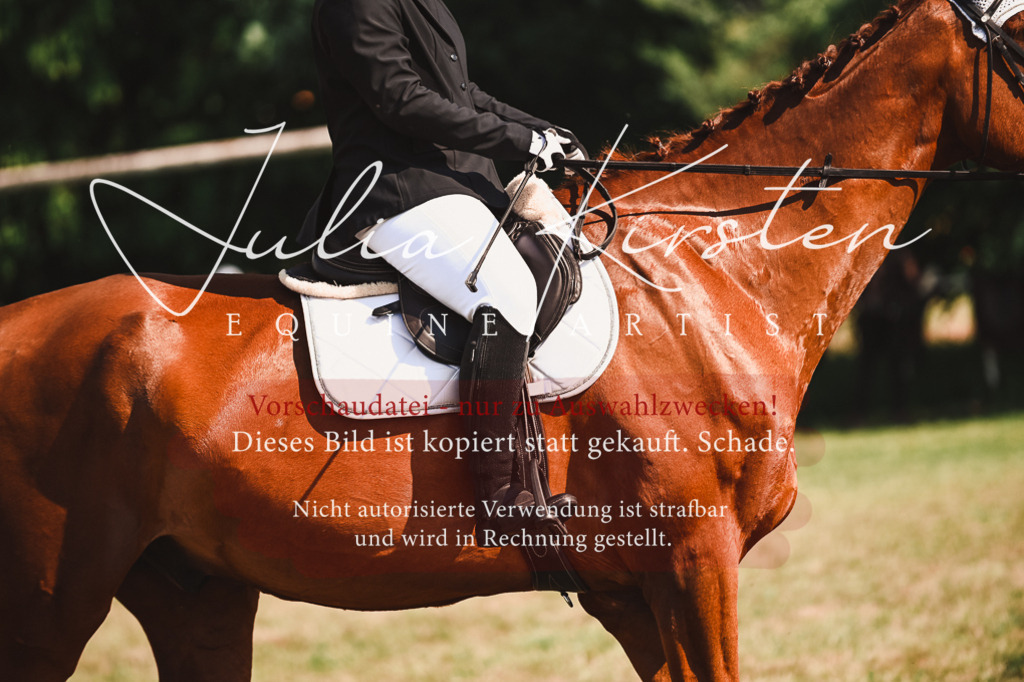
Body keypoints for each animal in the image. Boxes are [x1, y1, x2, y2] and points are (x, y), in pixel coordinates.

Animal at [2, 1, 1023, 679]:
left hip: (195, 592)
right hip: (51, 600)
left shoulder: (637, 589)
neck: (707, 280)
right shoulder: (695, 559)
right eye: (1021, 40)